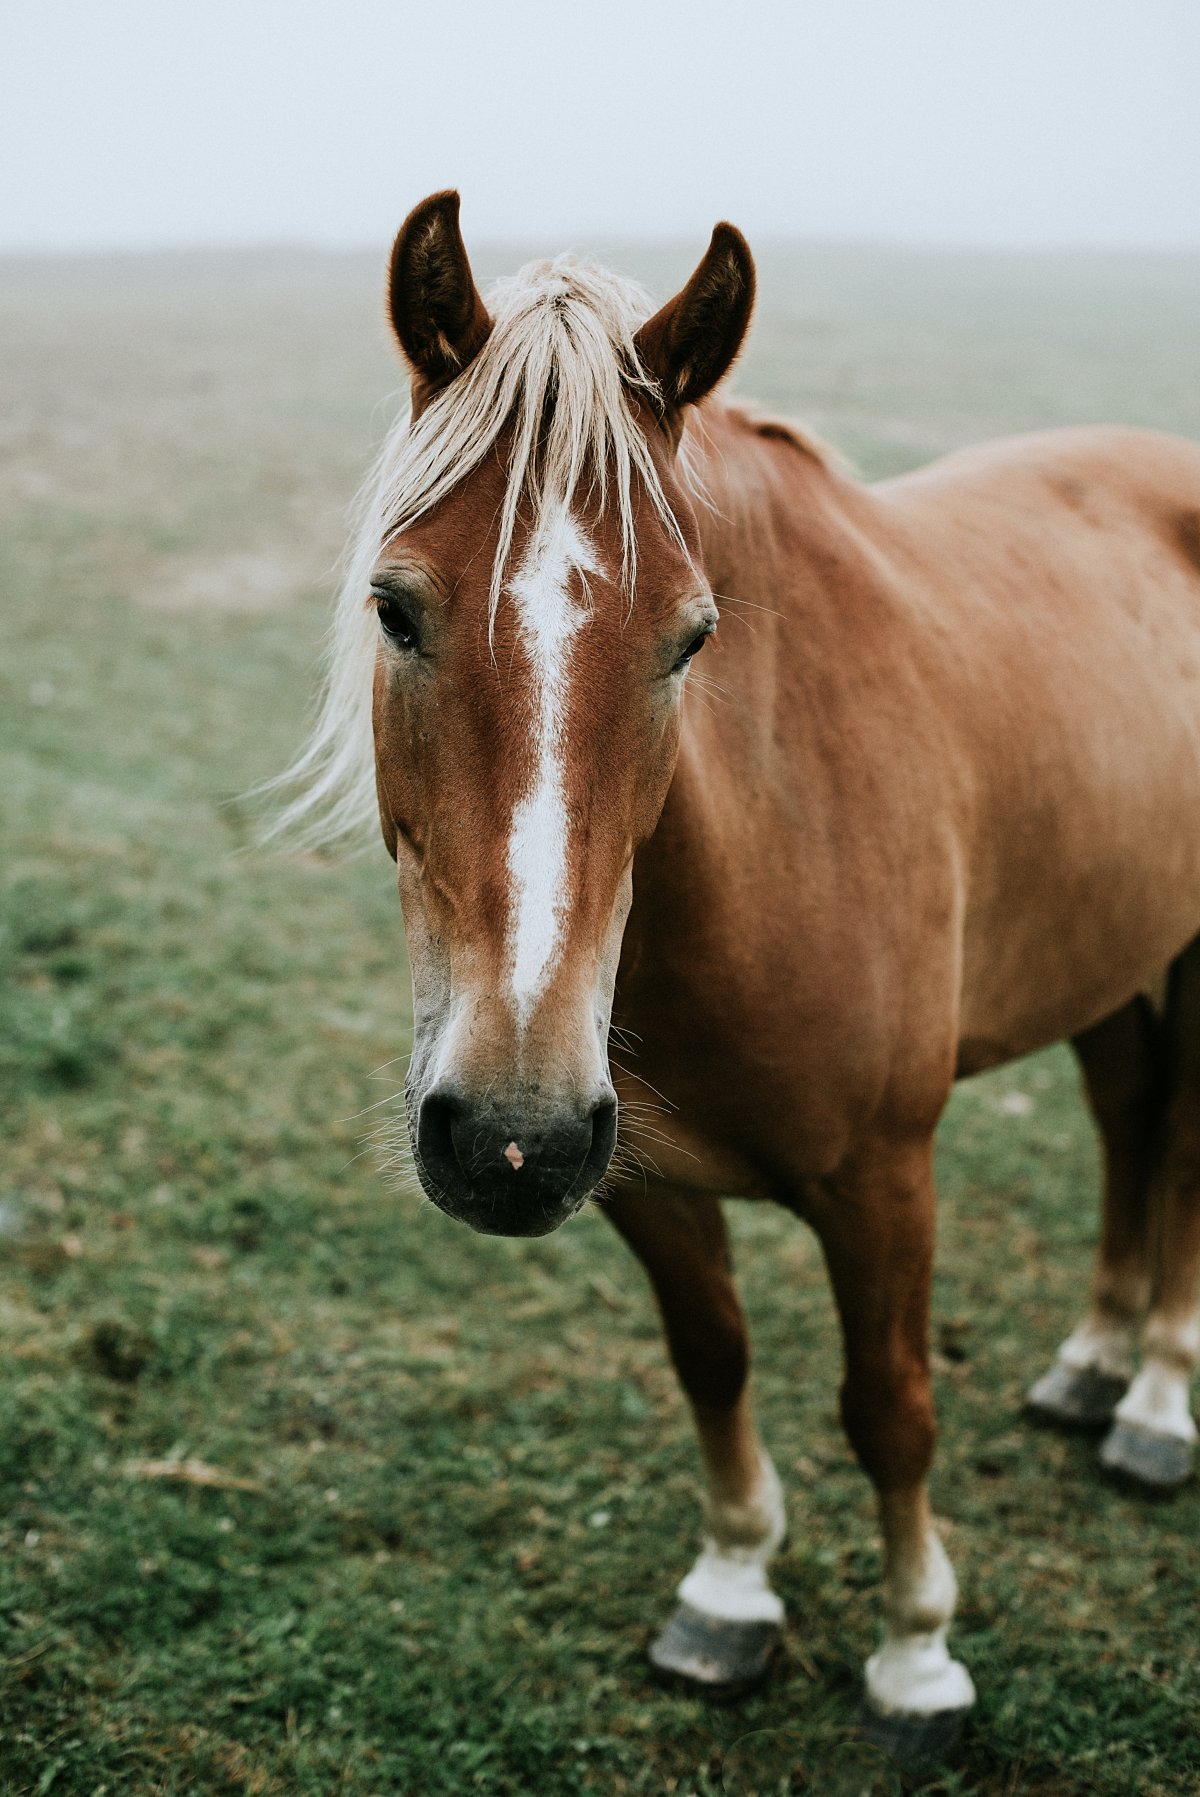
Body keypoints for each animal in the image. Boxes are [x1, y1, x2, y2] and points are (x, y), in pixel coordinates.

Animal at [276, 196, 1200, 1753]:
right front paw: (729, 1592)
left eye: (692, 636)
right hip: (1107, 946)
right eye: (395, 609)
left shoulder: (886, 1175)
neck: (767, 845)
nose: (507, 1130)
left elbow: (890, 1405)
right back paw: (1092, 1364)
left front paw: (917, 1655)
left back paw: (1159, 1405)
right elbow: (713, 1359)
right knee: (1132, 1120)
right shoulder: (640, 1177)